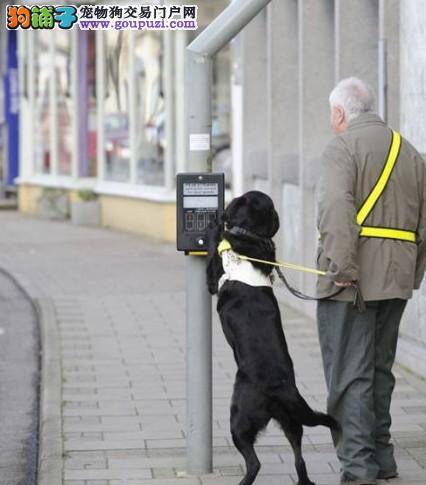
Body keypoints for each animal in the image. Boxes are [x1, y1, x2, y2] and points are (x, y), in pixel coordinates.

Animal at [206, 191, 340, 482]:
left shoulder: (212, 279)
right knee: (299, 459)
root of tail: (282, 390)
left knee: (254, 463)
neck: (248, 235)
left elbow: (214, 253)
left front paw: (216, 226)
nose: (278, 217)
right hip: (291, 422)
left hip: (239, 419)